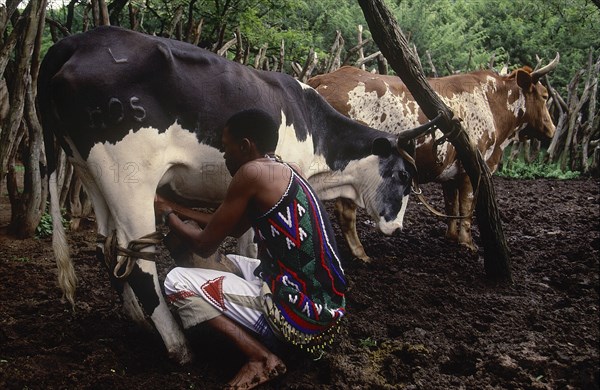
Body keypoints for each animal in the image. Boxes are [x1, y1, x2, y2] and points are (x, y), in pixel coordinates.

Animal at [37, 25, 428, 364]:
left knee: (108, 249)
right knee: (141, 264)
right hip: (129, 179)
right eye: (403, 176)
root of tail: (81, 40)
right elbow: (253, 246)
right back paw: (179, 345)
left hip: (89, 172)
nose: (398, 227)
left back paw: (138, 322)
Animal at [310, 57, 556, 258]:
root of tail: (325, 78)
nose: (552, 129)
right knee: (345, 211)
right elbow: (466, 208)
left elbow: (451, 205)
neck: (490, 101)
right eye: (545, 96)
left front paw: (452, 237)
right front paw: (467, 243)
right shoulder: (471, 171)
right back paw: (360, 253)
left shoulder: (450, 173)